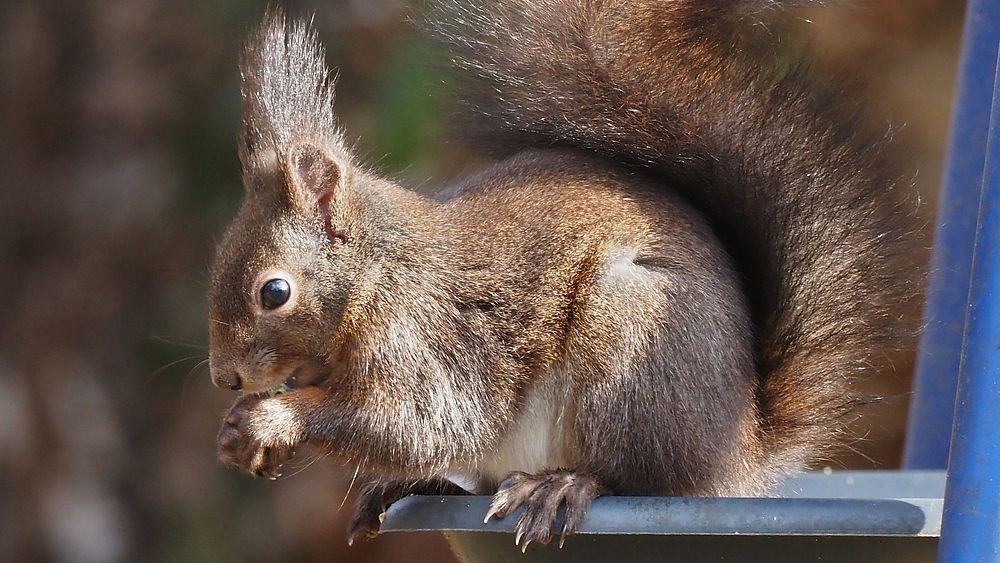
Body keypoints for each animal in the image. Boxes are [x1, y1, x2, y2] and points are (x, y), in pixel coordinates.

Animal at [207, 0, 916, 552]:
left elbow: (418, 421)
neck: (379, 273)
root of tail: (735, 458)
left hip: (629, 345)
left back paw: (564, 485)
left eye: (275, 292)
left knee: (635, 480)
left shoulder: (429, 338)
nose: (225, 379)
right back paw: (410, 485)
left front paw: (271, 421)